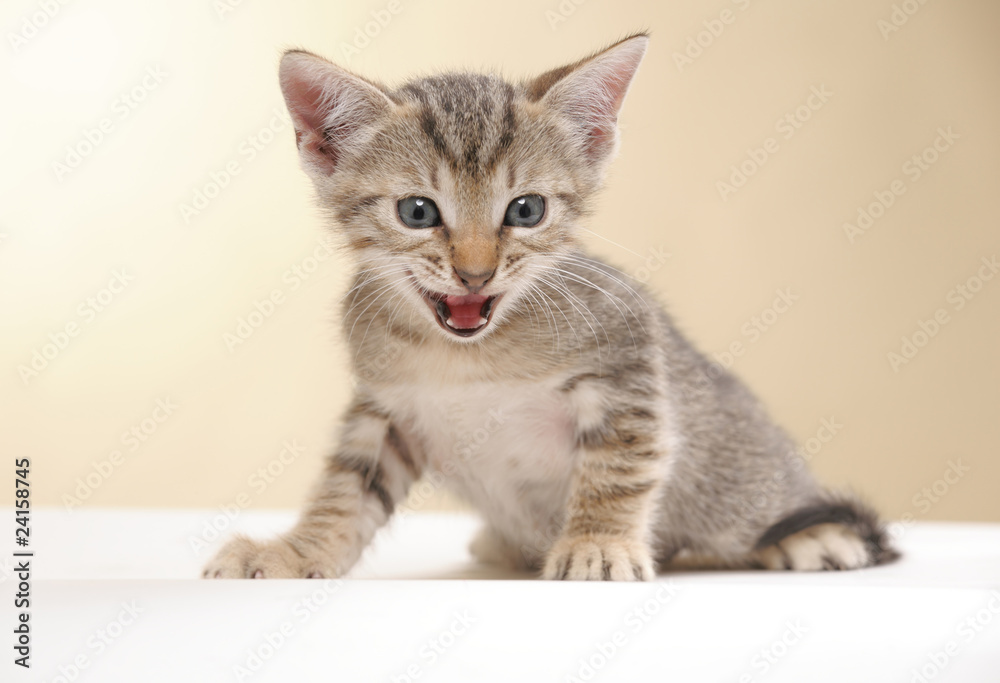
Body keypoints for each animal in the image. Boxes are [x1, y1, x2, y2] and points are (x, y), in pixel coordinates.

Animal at [204, 32, 896, 581]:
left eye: (527, 210)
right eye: (418, 212)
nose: (475, 272)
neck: (468, 355)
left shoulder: (627, 358)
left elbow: (621, 465)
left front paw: (598, 543)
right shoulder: (385, 409)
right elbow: (345, 489)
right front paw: (297, 551)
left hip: (749, 486)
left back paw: (814, 535)